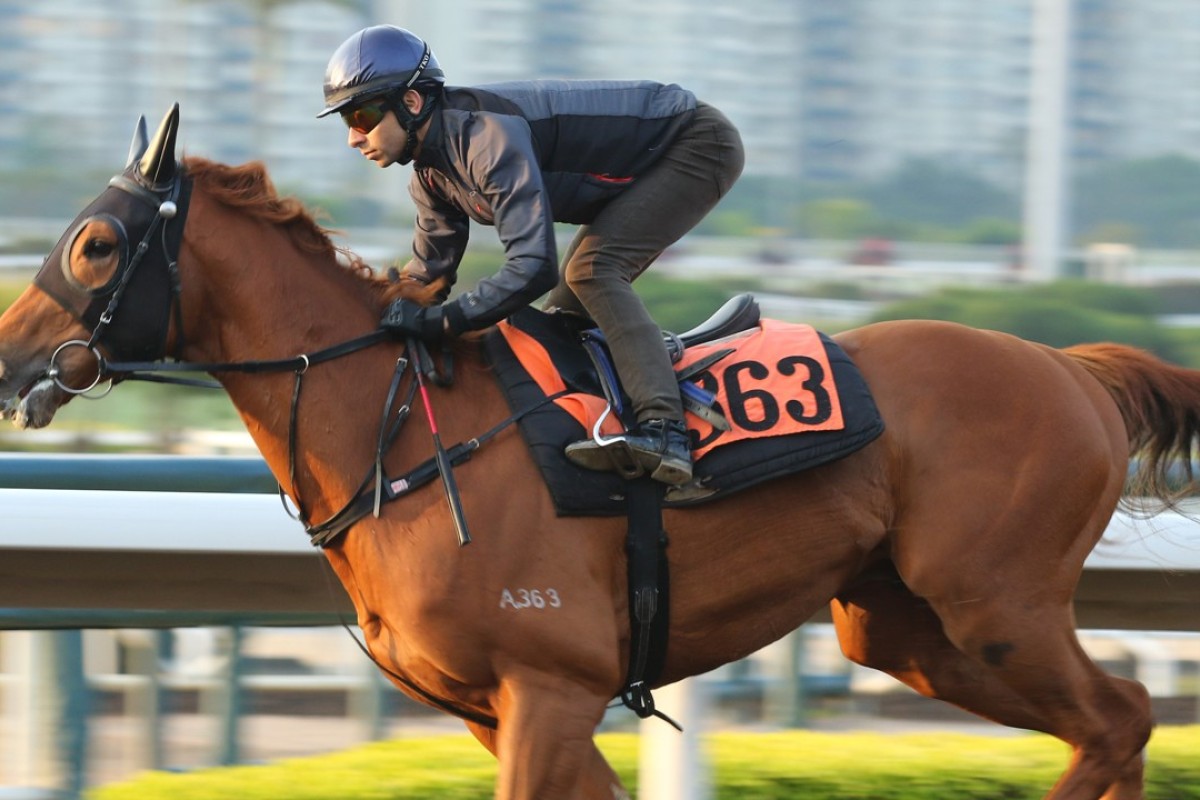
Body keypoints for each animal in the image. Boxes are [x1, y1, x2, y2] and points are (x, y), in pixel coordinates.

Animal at [0, 107, 1190, 800]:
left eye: (95, 243)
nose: (10, 362)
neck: (401, 431)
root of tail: (1075, 369)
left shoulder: (550, 685)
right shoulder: (494, 708)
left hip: (996, 605)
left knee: (1115, 721)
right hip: (904, 626)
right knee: (1120, 720)